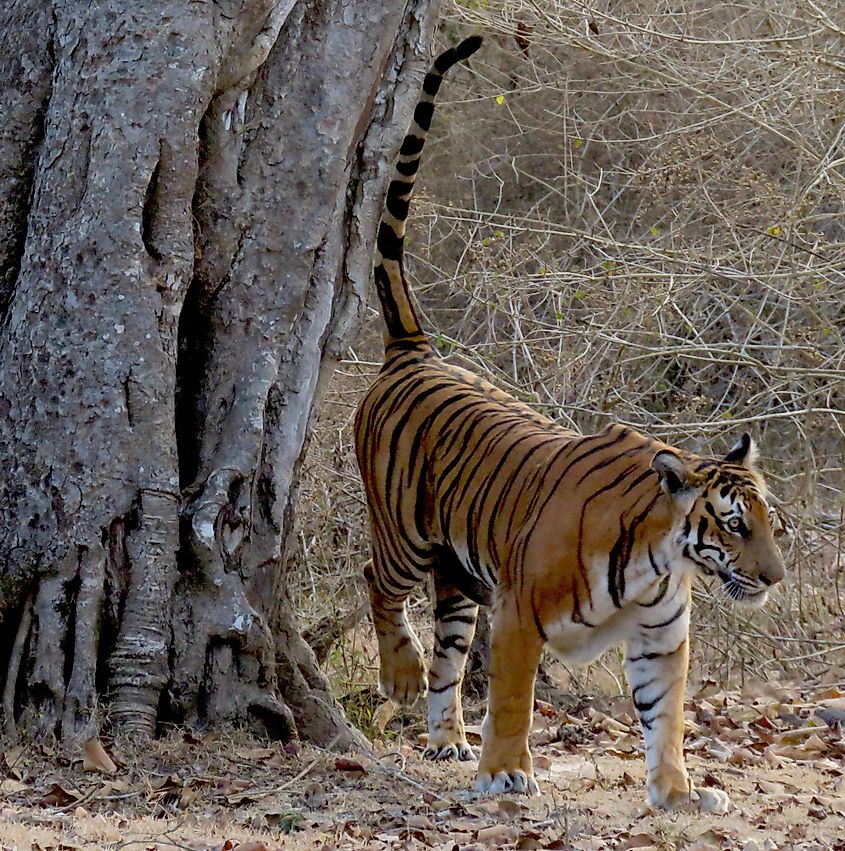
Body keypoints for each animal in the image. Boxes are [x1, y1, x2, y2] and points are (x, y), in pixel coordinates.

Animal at [352, 36, 784, 816]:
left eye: (775, 525)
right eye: (735, 525)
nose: (774, 576)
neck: (659, 558)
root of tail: (416, 350)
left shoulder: (659, 637)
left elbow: (666, 717)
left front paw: (677, 792)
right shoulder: (520, 614)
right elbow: (514, 700)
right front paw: (504, 774)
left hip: (458, 581)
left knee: (448, 654)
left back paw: (445, 739)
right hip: (402, 529)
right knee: (379, 583)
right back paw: (401, 678)